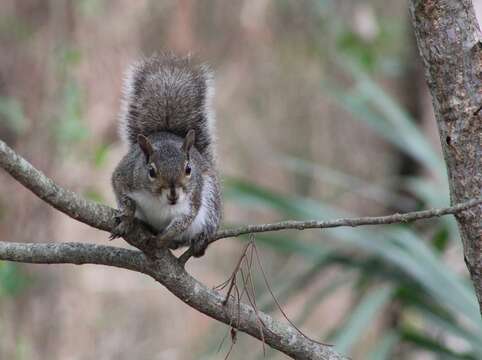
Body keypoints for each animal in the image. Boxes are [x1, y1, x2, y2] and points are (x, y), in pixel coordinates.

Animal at [110, 53, 221, 258]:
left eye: (189, 169)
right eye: (151, 171)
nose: (173, 195)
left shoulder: (192, 201)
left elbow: (181, 223)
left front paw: (161, 240)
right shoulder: (124, 175)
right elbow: (122, 195)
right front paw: (127, 218)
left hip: (211, 204)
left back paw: (195, 242)